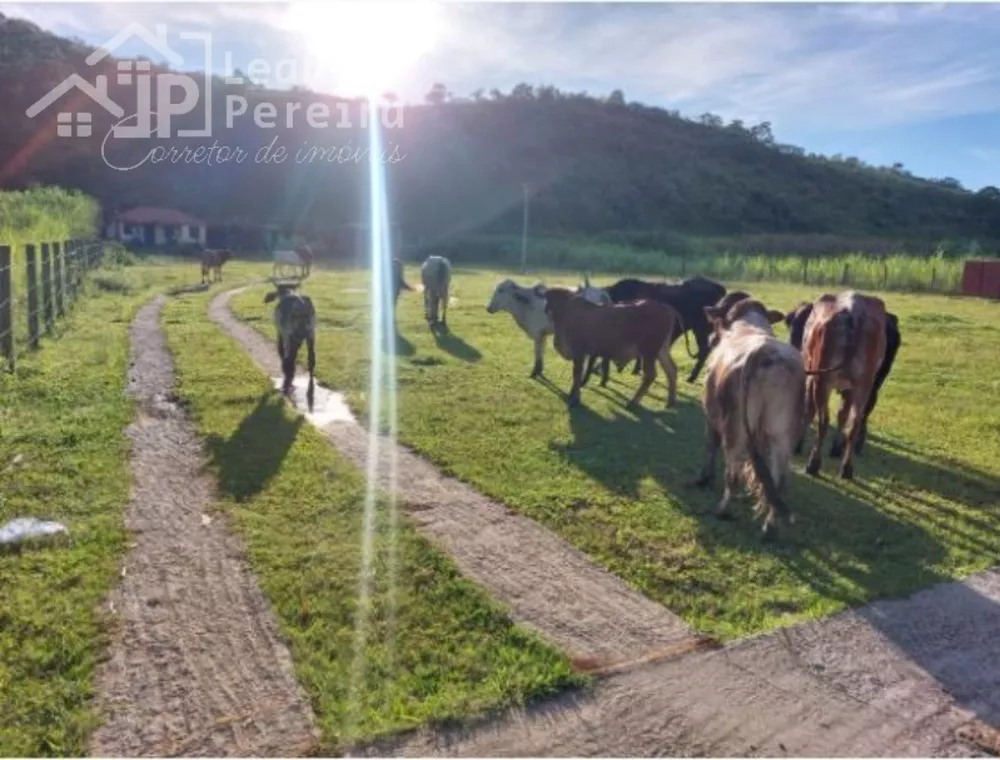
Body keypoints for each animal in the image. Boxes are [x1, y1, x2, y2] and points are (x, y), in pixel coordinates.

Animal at [262, 282, 316, 412]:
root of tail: (301, 306)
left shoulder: (281, 334)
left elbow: (281, 352)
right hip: (311, 333)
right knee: (311, 359)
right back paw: (309, 386)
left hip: (290, 334)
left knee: (288, 358)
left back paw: (286, 384)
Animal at [544, 288, 684, 410]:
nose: (545, 310)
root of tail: (664, 306)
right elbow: (578, 375)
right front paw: (572, 395)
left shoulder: (579, 351)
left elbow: (577, 375)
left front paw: (575, 399)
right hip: (661, 350)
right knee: (672, 369)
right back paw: (671, 401)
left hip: (649, 351)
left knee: (650, 374)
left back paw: (633, 403)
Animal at [692, 294, 808, 536]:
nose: (710, 338)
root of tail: (766, 353)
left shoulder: (710, 415)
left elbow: (710, 446)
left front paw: (704, 478)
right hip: (782, 434)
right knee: (779, 481)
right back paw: (770, 527)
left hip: (735, 429)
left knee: (733, 472)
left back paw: (723, 509)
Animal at [788, 292, 892, 480]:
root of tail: (854, 309)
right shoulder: (848, 388)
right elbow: (842, 415)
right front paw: (836, 447)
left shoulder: (811, 377)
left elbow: (809, 411)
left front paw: (798, 444)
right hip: (863, 384)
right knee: (854, 422)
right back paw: (847, 467)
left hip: (823, 379)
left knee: (823, 420)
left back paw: (813, 463)